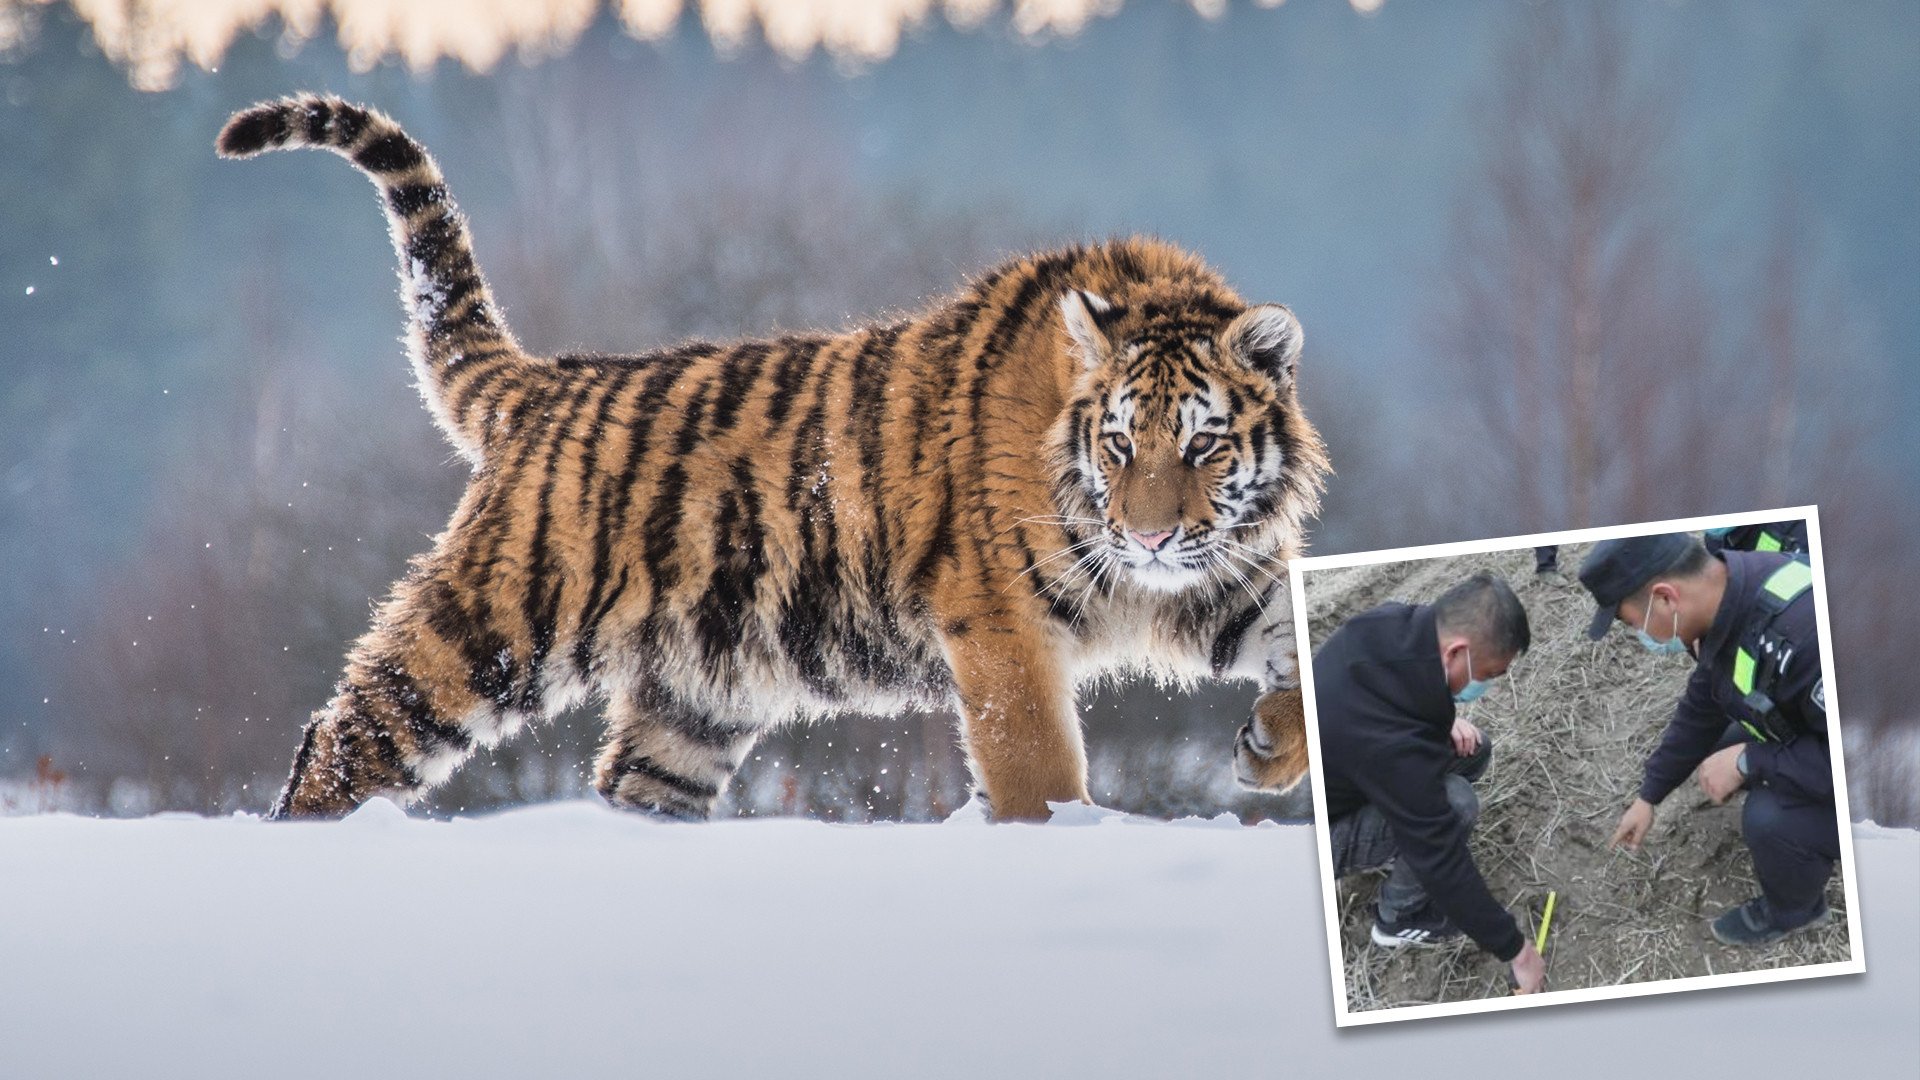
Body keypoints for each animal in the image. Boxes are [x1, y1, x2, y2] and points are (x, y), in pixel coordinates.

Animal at [210, 94, 1320, 814]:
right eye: (1122, 443)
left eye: (1205, 444)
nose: (1151, 537)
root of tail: (543, 383)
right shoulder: (1002, 622)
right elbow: (1036, 764)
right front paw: (1057, 836)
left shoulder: (1224, 570)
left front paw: (1269, 747)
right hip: (488, 626)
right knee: (342, 740)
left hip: (697, 697)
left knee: (630, 784)